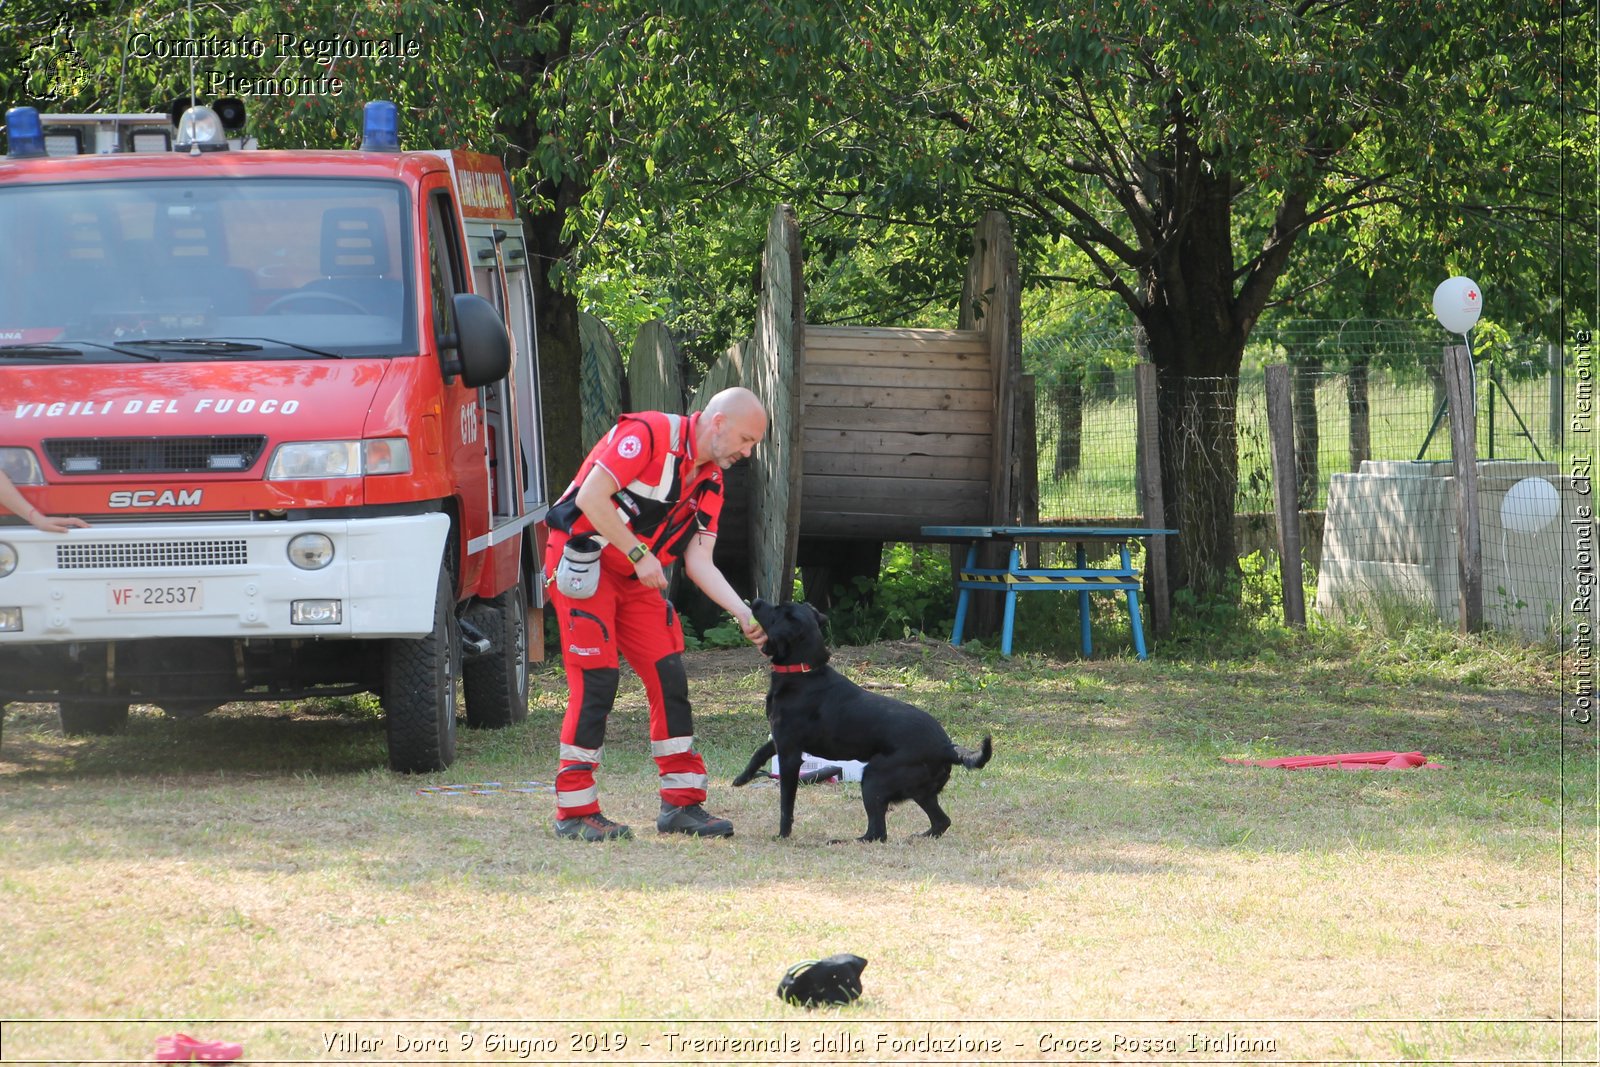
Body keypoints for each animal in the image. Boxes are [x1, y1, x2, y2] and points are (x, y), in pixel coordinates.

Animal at [732, 601, 985, 844]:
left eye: (776, 609)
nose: (756, 601)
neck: (803, 672)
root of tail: (948, 747)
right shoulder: (781, 739)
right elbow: (760, 751)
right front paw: (742, 778)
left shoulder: (790, 753)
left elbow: (786, 803)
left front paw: (783, 835)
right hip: (921, 791)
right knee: (941, 821)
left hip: (874, 779)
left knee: (877, 833)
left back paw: (841, 841)